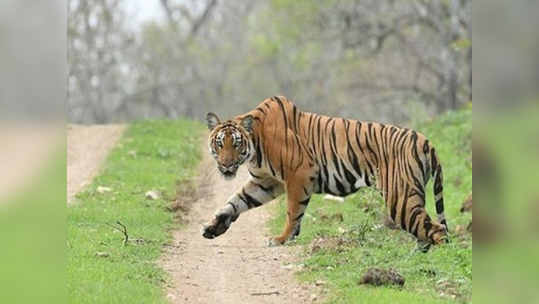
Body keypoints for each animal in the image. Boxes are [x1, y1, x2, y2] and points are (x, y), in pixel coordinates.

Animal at [200, 96, 450, 251]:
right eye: (220, 144)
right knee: (428, 232)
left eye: (236, 144)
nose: (227, 165)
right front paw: (213, 227)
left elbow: (292, 212)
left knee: (437, 230)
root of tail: (426, 141)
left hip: (401, 197)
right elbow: (236, 201)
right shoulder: (265, 182)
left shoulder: (298, 173)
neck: (255, 145)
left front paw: (282, 239)